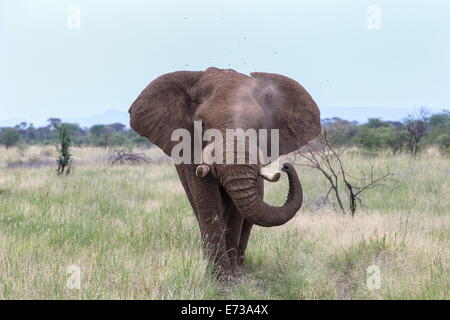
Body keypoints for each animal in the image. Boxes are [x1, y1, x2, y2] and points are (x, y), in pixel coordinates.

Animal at [128, 67, 322, 280]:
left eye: (260, 126)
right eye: (202, 124)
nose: (286, 166)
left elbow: (236, 209)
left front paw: (231, 276)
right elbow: (206, 200)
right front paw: (220, 277)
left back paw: (240, 266)